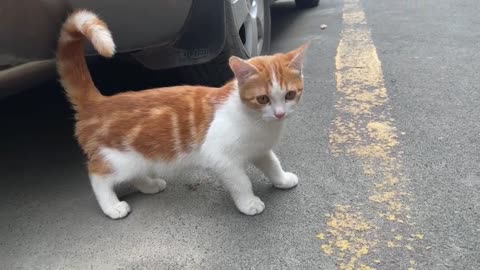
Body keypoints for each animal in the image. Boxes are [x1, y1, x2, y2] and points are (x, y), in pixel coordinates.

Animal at [57, 10, 312, 219]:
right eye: (263, 99)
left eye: (290, 95)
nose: (279, 114)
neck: (257, 121)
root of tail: (99, 102)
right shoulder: (221, 158)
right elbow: (241, 181)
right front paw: (248, 203)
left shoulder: (259, 149)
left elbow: (272, 163)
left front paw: (282, 179)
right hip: (117, 158)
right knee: (98, 175)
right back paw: (111, 206)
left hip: (135, 158)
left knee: (134, 174)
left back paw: (149, 185)